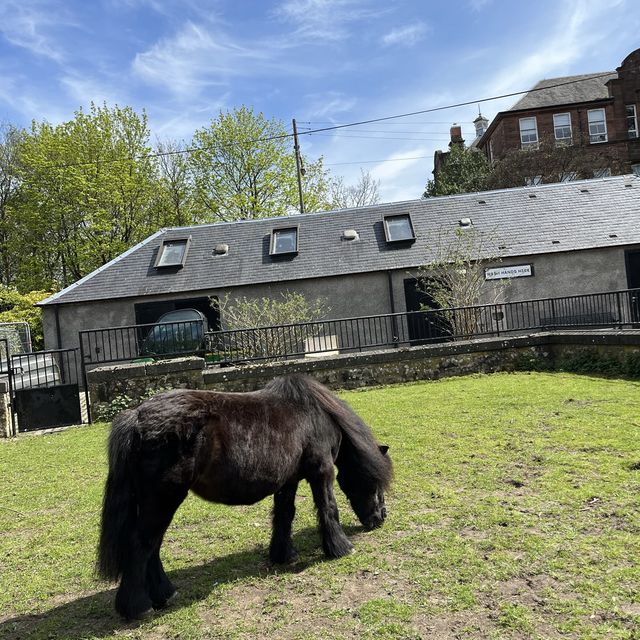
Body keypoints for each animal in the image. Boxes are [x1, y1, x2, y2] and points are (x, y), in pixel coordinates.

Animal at [97, 376, 392, 620]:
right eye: (377, 484)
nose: (380, 518)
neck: (317, 416)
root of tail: (137, 418)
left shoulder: (289, 481)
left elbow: (285, 515)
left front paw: (283, 554)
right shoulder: (321, 471)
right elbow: (328, 507)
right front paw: (340, 547)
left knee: (153, 547)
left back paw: (164, 594)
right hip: (163, 499)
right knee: (142, 544)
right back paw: (138, 607)